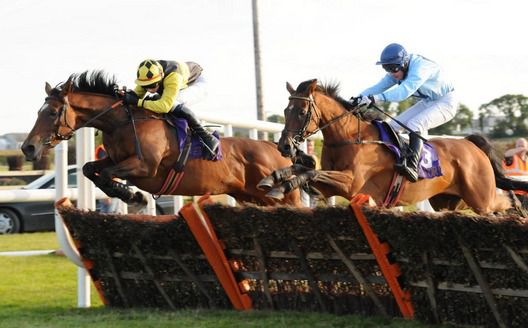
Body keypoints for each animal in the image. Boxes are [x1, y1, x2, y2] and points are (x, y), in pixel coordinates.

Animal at [21, 70, 302, 206]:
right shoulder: (115, 159)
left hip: (280, 197)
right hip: (251, 197)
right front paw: (130, 196)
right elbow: (90, 169)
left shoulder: (145, 167)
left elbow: (107, 173)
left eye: (53, 112)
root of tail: (276, 149)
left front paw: (131, 196)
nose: (28, 148)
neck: (122, 122)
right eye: (38, 111)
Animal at [258, 78, 528, 214]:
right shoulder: (331, 186)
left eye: (302, 111)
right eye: (285, 110)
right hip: (449, 200)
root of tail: (472, 145)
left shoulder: (351, 184)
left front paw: (282, 187)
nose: (284, 146)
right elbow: (305, 171)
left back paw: (519, 208)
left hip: (479, 197)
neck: (349, 137)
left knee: (503, 200)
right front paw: (274, 180)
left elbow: (312, 173)